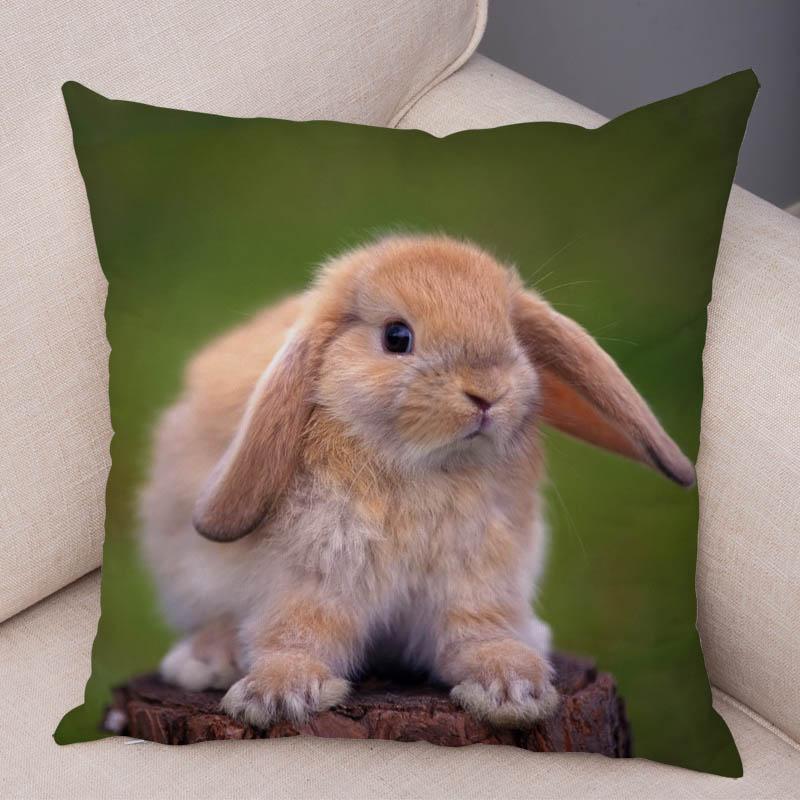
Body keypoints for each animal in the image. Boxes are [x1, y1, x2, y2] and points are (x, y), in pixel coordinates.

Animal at [139, 234, 694, 730]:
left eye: (513, 335)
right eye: (396, 337)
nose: (487, 393)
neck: (425, 466)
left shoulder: (476, 579)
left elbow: (477, 635)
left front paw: (513, 689)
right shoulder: (313, 576)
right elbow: (299, 633)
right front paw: (275, 696)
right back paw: (207, 661)